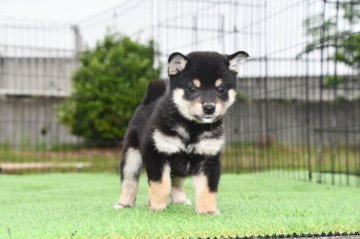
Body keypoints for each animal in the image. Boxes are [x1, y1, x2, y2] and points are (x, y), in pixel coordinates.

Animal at [114, 50, 249, 213]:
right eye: (192, 88)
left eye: (221, 88)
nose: (209, 108)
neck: (193, 127)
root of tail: (148, 101)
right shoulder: (156, 154)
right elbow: (161, 186)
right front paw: (157, 208)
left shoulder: (208, 159)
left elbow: (207, 189)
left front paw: (207, 211)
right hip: (132, 156)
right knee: (129, 182)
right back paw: (124, 203)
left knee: (177, 182)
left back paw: (179, 200)